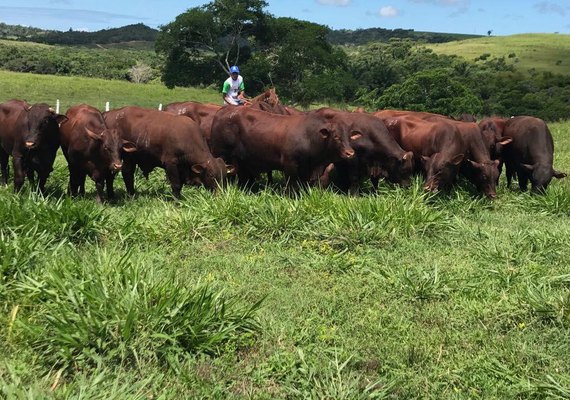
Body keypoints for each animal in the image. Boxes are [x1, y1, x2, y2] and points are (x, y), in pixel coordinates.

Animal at [104, 105, 233, 198]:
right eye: (211, 175)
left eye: (224, 176)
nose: (220, 195)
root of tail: (110, 113)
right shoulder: (171, 164)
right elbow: (176, 185)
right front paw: (177, 201)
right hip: (126, 157)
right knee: (126, 173)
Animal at [209, 105, 358, 188]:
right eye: (336, 136)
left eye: (349, 136)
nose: (350, 153)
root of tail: (224, 110)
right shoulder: (290, 165)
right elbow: (292, 187)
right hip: (221, 154)